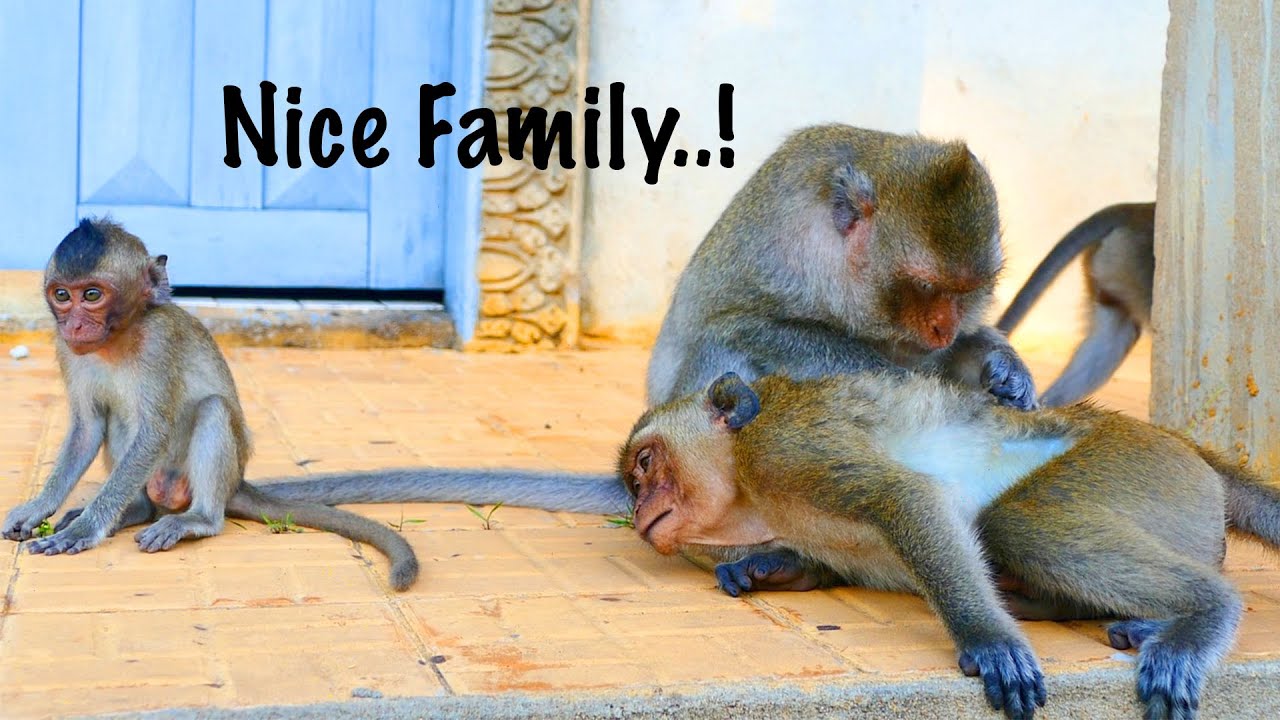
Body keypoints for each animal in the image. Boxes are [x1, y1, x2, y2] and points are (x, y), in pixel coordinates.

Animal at [0, 219, 419, 590]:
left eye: (91, 295)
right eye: (62, 295)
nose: (73, 325)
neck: (117, 339)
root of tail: (236, 483)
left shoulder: (159, 342)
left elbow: (154, 432)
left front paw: (87, 527)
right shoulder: (67, 350)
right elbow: (87, 428)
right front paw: (39, 507)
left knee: (213, 409)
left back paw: (198, 520)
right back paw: (136, 510)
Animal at [617, 370, 1267, 720]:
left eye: (646, 465)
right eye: (633, 481)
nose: (637, 508)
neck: (749, 486)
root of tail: (1187, 447)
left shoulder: (784, 446)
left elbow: (902, 497)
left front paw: (989, 640)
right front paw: (766, 568)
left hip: (1141, 467)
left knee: (1018, 522)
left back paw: (1201, 614)